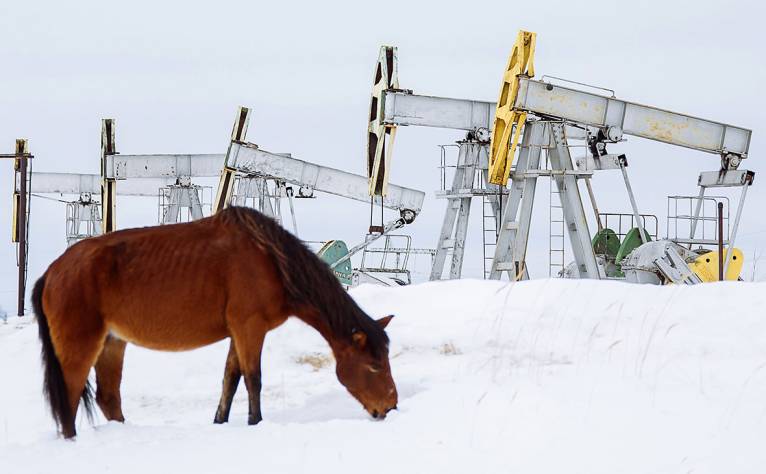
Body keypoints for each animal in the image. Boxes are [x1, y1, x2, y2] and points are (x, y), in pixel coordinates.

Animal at [33, 206, 400, 438]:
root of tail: (52, 271)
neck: (270, 260)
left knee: (109, 398)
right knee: (69, 397)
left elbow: (230, 379)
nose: (391, 407)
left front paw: (220, 422)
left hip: (112, 343)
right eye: (374, 366)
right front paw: (255, 422)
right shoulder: (250, 328)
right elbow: (253, 380)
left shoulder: (239, 333)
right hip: (80, 345)